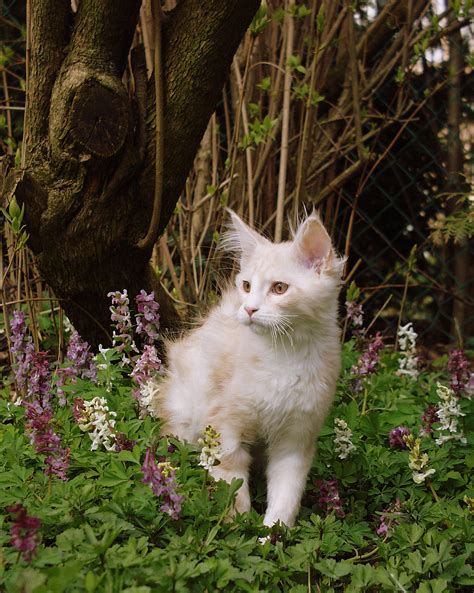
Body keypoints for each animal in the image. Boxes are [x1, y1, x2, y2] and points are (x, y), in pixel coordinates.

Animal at [152, 210, 344, 524]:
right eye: (247, 286)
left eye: (279, 288)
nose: (249, 309)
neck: (285, 353)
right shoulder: (224, 427)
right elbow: (232, 483)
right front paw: (236, 524)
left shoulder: (296, 439)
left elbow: (285, 497)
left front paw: (272, 533)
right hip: (186, 413)